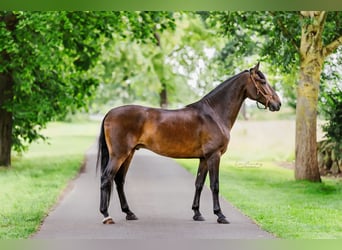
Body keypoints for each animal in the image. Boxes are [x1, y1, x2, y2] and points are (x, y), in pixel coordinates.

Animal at [95, 63, 280, 225]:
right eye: (262, 81)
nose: (278, 103)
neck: (214, 114)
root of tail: (109, 113)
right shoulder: (214, 156)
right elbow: (215, 185)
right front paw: (220, 215)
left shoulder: (204, 158)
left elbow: (199, 184)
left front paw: (197, 213)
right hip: (119, 154)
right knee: (106, 178)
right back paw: (106, 215)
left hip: (129, 154)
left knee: (119, 180)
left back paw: (129, 213)